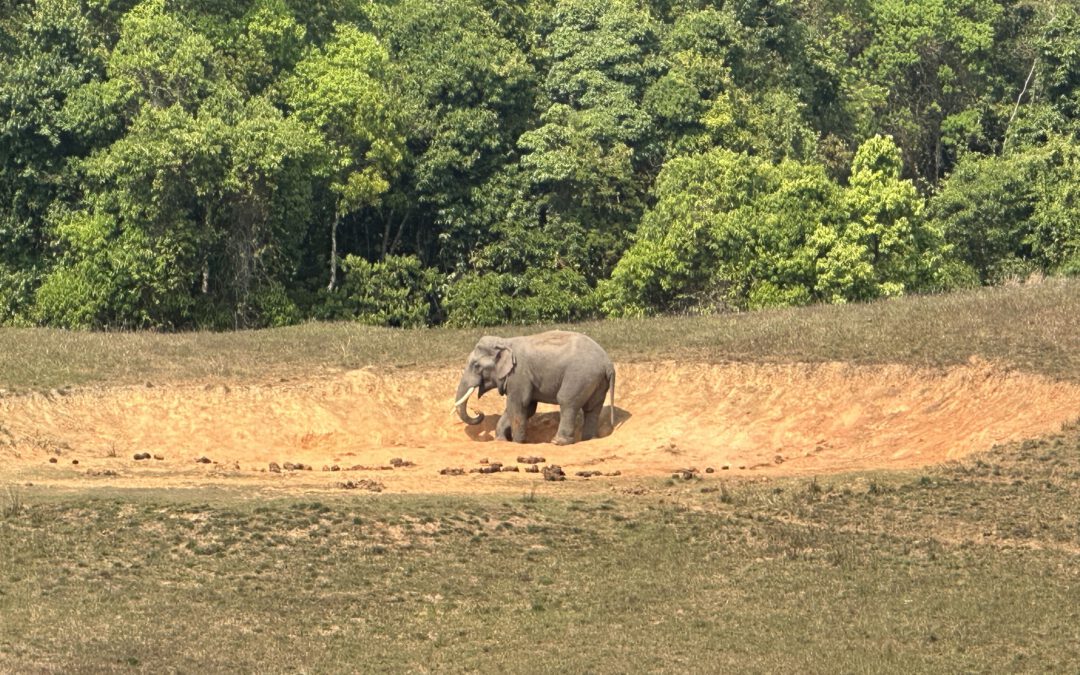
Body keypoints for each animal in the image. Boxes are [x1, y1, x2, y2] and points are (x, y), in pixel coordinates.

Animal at [453, 330, 617, 444]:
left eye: (476, 366)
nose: (478, 411)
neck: (506, 342)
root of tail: (608, 364)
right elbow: (528, 408)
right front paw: (501, 440)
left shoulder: (518, 374)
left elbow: (517, 405)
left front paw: (518, 442)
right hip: (597, 382)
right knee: (593, 408)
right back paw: (588, 439)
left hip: (579, 377)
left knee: (567, 402)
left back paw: (558, 442)